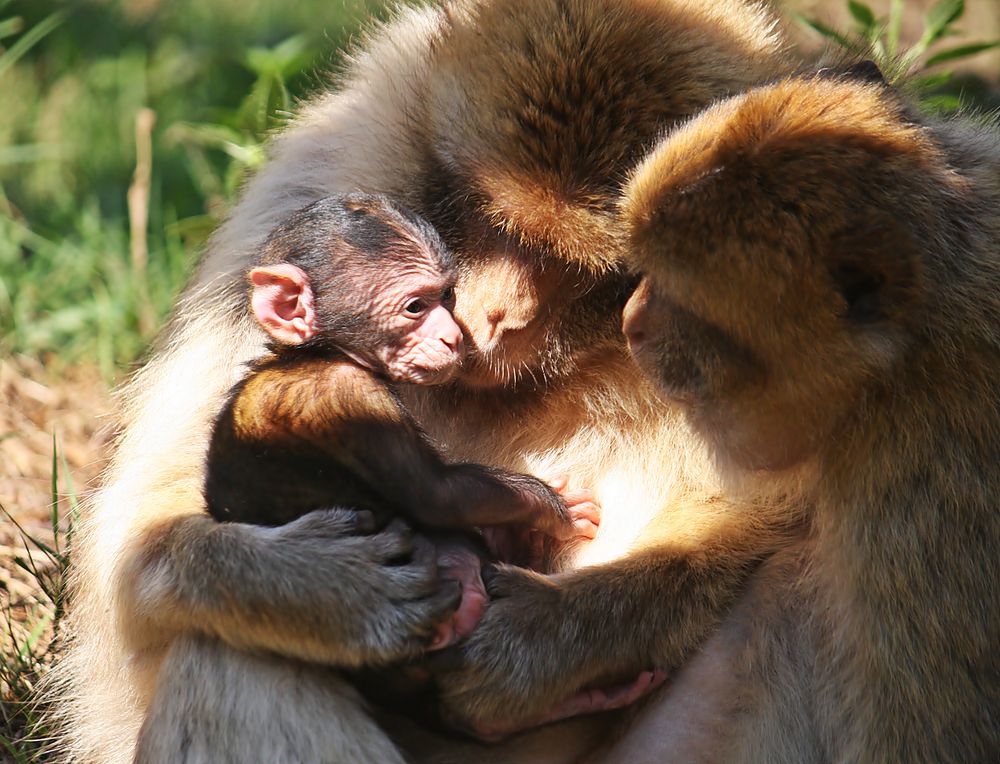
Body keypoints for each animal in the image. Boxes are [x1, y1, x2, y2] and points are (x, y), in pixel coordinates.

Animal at [201, 194, 592, 648]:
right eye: (415, 307)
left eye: (446, 296)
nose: (452, 336)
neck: (316, 353)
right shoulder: (351, 399)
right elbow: (435, 494)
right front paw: (554, 508)